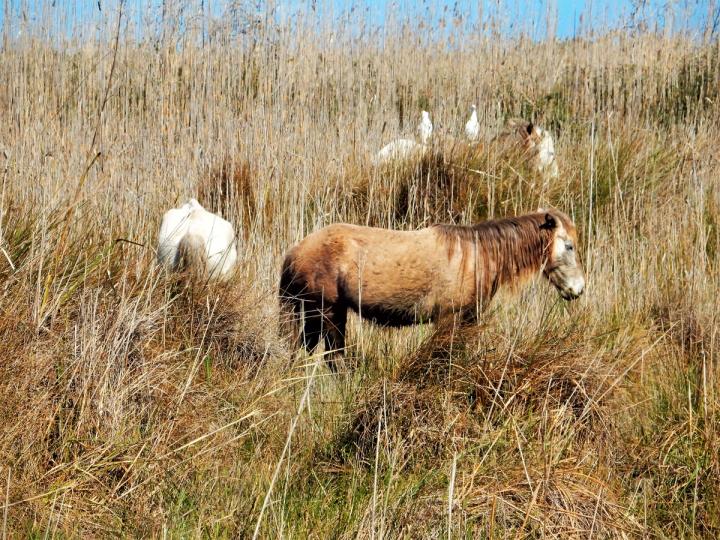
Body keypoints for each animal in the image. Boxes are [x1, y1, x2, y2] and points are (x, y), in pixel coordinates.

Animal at [278, 207, 584, 368]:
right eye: (568, 246)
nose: (577, 289)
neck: (478, 255)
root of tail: (295, 252)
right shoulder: (449, 319)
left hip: (315, 313)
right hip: (329, 312)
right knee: (333, 359)